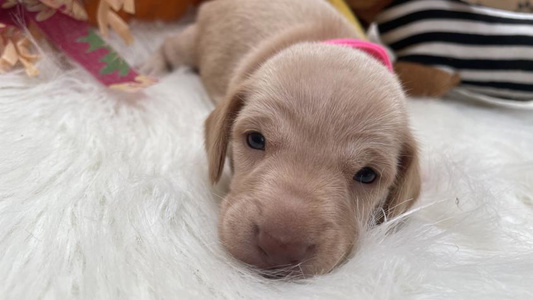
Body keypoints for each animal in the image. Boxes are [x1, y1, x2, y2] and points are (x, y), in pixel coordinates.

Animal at [144, 0, 420, 276]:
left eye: (367, 175)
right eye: (256, 139)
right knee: (171, 44)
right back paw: (154, 67)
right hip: (194, 41)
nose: (280, 245)